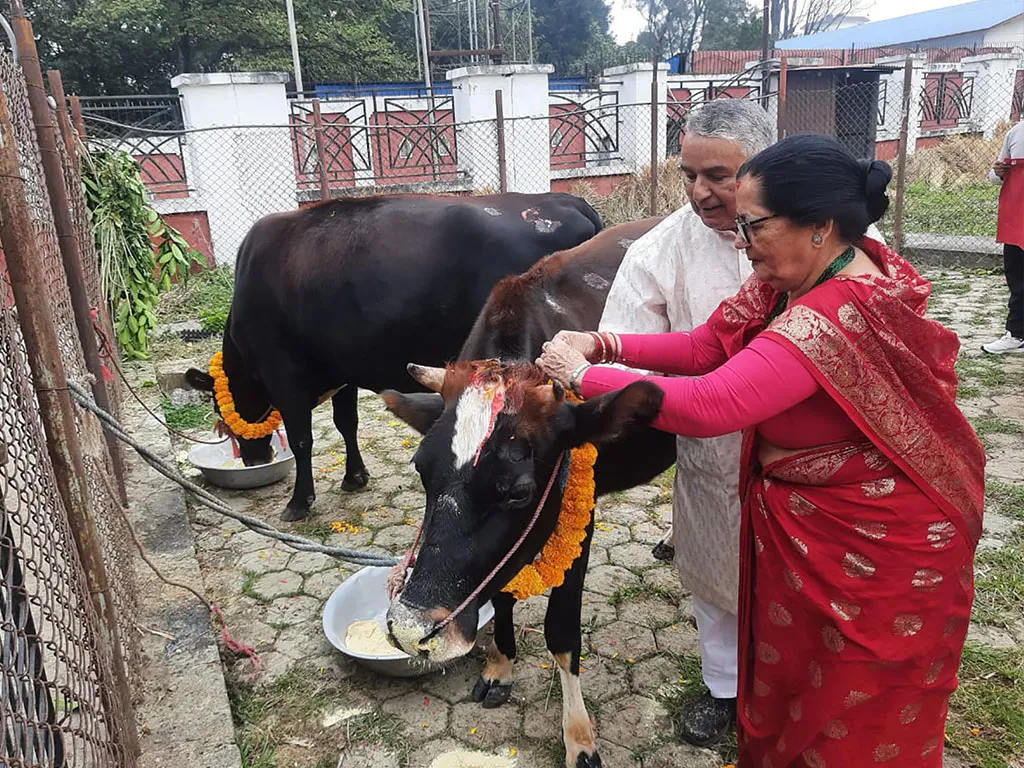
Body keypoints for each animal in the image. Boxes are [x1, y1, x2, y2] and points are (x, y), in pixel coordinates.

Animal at [186, 191, 598, 524]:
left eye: (219, 409)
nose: (254, 459)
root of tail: (566, 200)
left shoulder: (284, 375)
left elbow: (303, 438)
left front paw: (299, 502)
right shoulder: (343, 371)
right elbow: (346, 423)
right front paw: (354, 476)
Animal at [380, 218, 675, 768]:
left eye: (519, 492)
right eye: (421, 470)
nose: (410, 627)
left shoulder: (578, 517)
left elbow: (561, 632)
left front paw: (578, 736)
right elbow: (501, 593)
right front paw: (499, 666)